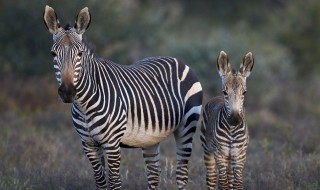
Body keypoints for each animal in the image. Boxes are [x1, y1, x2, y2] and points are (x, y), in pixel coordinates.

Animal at [42, 5, 202, 190]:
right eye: (53, 54)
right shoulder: (88, 144)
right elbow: (100, 181)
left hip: (187, 126)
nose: (68, 92)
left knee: (181, 173)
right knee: (154, 174)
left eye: (80, 54)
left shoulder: (112, 144)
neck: (84, 105)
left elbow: (115, 182)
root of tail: (177, 60)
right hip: (150, 138)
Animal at [201, 51, 254, 189]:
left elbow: (237, 183)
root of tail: (215, 98)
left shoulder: (240, 155)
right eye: (225, 92)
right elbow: (222, 183)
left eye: (244, 93)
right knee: (212, 177)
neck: (232, 130)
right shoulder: (220, 154)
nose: (235, 119)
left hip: (231, 157)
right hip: (208, 150)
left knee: (230, 178)